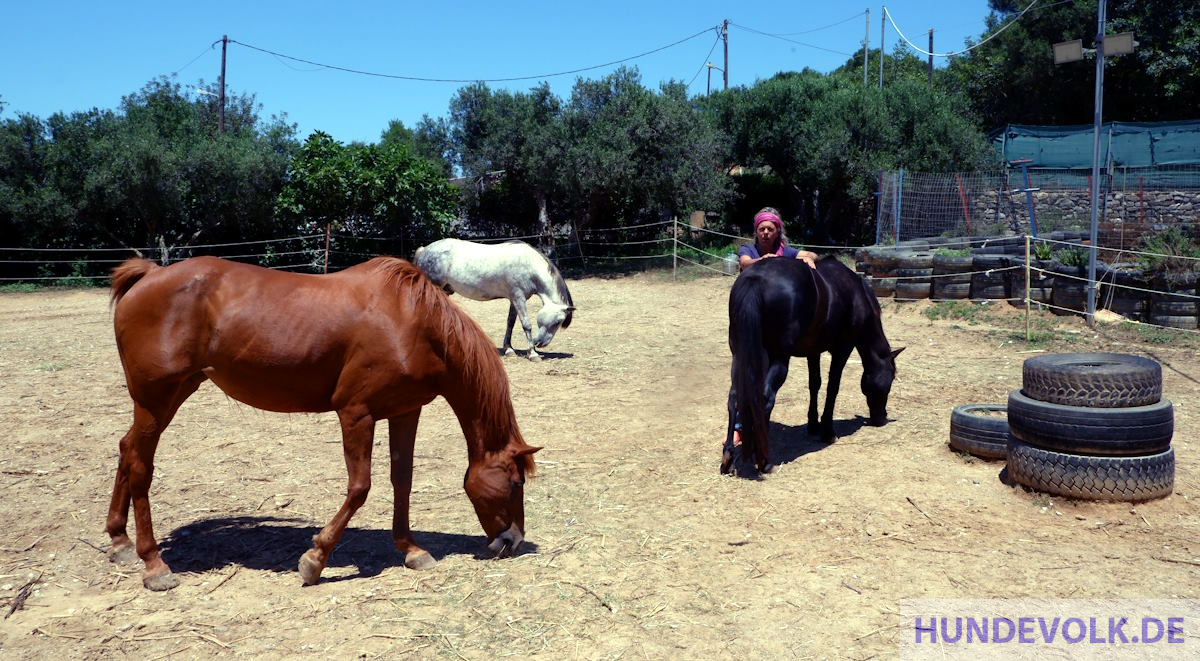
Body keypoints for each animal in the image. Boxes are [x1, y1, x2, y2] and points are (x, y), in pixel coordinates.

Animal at [108, 255, 540, 592]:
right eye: (516, 483)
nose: (513, 542)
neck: (412, 322)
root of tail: (149, 275)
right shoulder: (356, 413)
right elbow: (360, 487)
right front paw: (315, 560)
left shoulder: (405, 411)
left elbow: (402, 479)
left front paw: (412, 550)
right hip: (155, 401)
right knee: (141, 465)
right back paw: (154, 565)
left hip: (172, 395)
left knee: (127, 449)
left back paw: (119, 541)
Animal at [417, 238, 576, 362]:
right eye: (558, 322)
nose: (540, 343)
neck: (528, 264)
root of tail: (423, 251)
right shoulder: (519, 297)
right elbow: (526, 324)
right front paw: (533, 354)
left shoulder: (514, 299)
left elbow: (510, 323)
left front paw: (509, 349)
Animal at [720, 254, 902, 475]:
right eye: (890, 380)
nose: (881, 418)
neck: (857, 294)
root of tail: (755, 279)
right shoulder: (843, 349)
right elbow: (833, 387)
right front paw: (827, 431)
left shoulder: (813, 351)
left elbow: (815, 384)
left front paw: (813, 424)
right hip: (778, 358)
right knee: (765, 397)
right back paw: (763, 460)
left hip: (740, 356)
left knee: (734, 397)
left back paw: (728, 456)